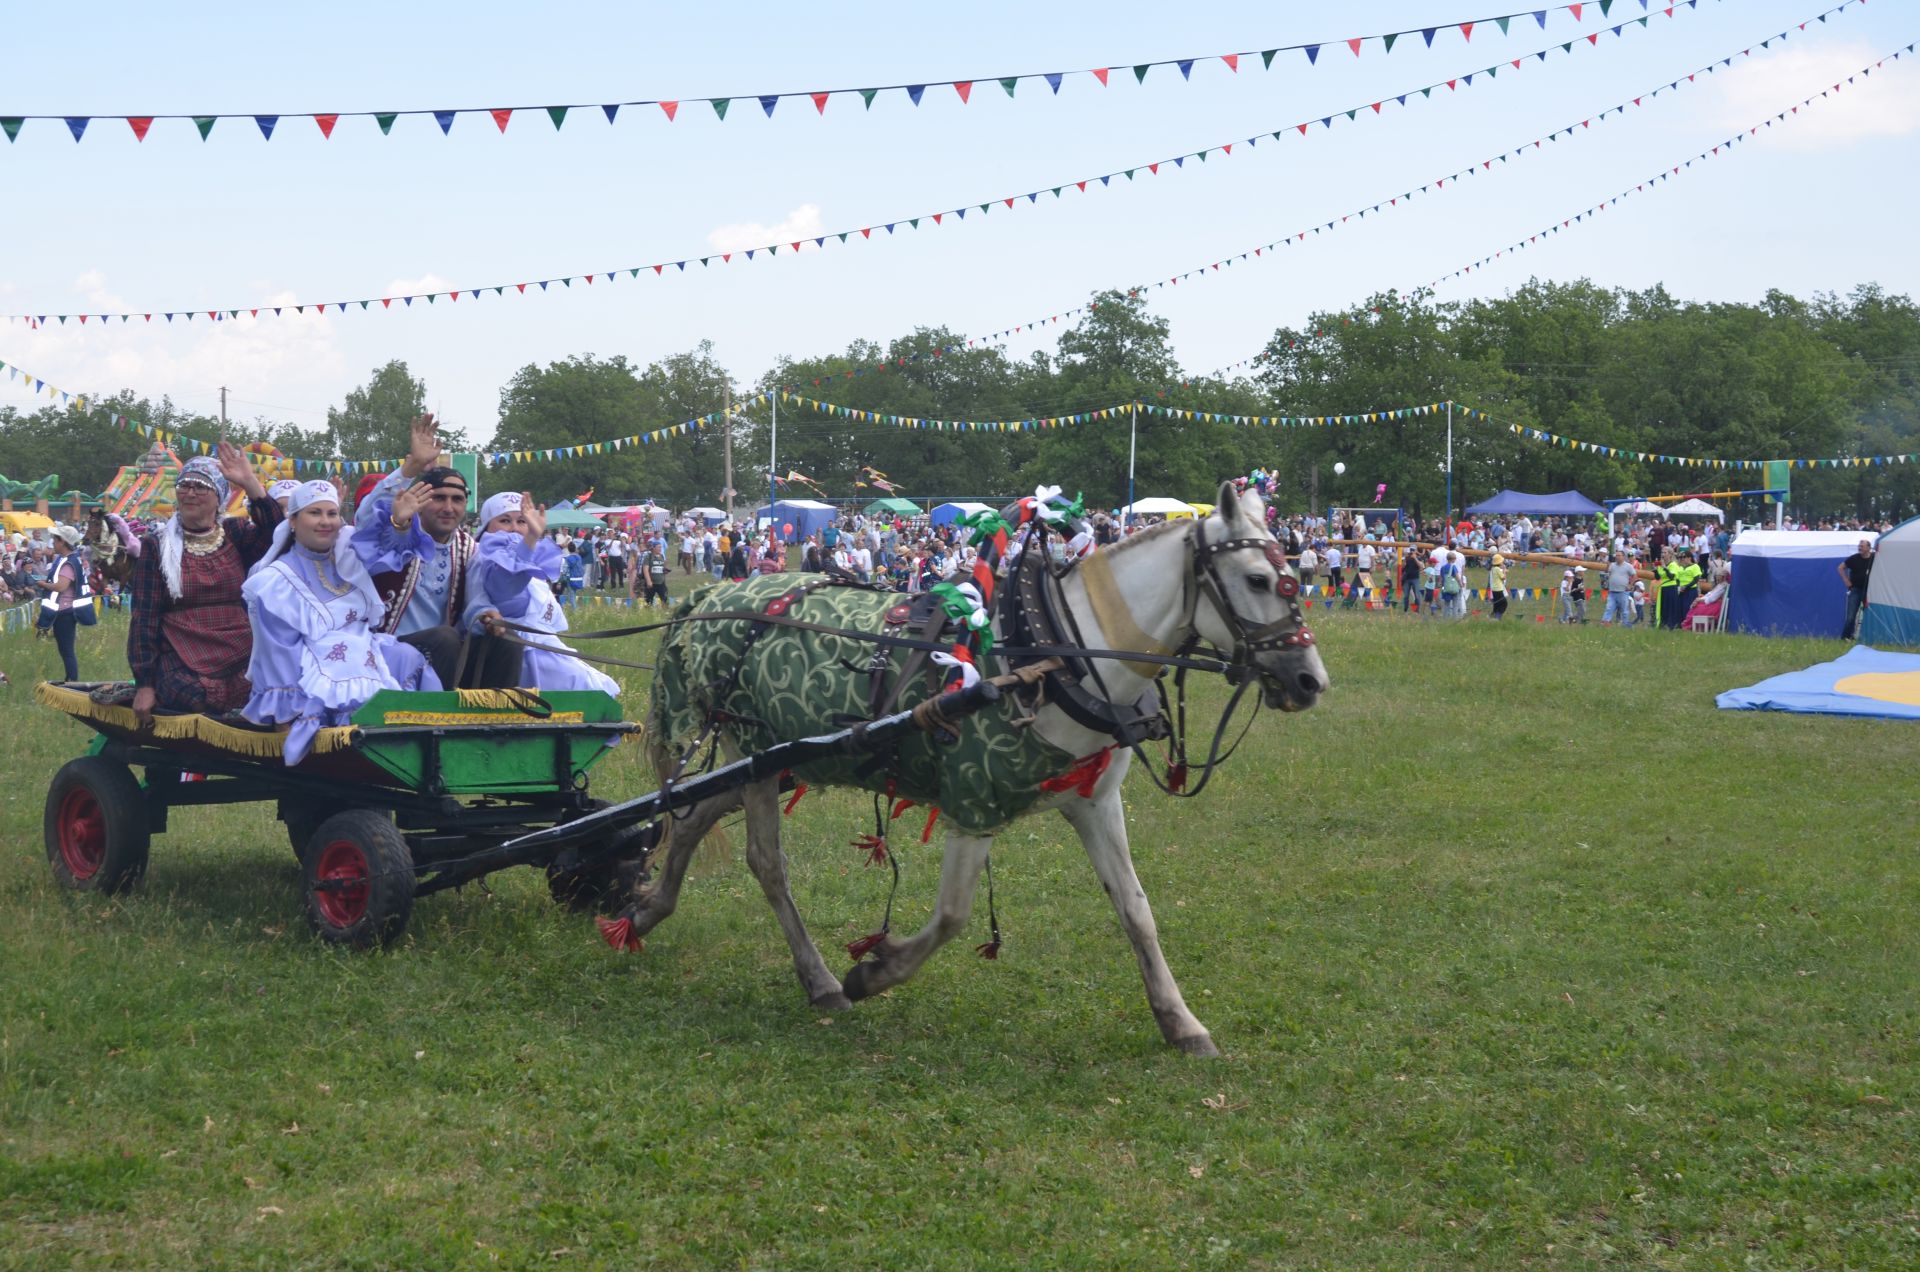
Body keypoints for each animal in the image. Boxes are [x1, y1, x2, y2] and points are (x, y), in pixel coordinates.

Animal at [614, 478, 1320, 1052]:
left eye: (1288, 574)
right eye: (1259, 580)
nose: (1310, 681)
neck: (1055, 654)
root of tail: (717, 592)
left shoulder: (1093, 800)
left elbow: (1136, 909)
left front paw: (1180, 1021)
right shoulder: (974, 801)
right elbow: (953, 914)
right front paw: (874, 971)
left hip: (770, 756)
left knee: (695, 813)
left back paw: (646, 907)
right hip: (754, 751)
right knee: (766, 862)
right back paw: (819, 979)